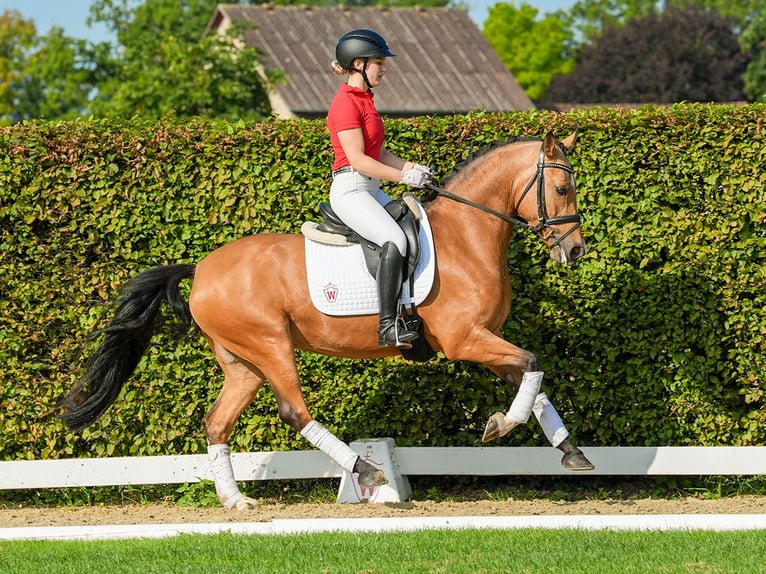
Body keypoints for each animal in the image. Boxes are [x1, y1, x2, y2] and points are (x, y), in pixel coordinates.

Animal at [63, 132, 596, 512]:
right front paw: (501, 426)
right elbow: (533, 363)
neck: (466, 235)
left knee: (217, 423)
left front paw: (571, 452)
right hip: (270, 347)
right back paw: (366, 472)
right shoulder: (465, 340)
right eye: (562, 188)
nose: (575, 252)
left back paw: (236, 501)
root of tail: (201, 269)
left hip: (243, 363)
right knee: (294, 412)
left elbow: (533, 379)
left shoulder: (487, 340)